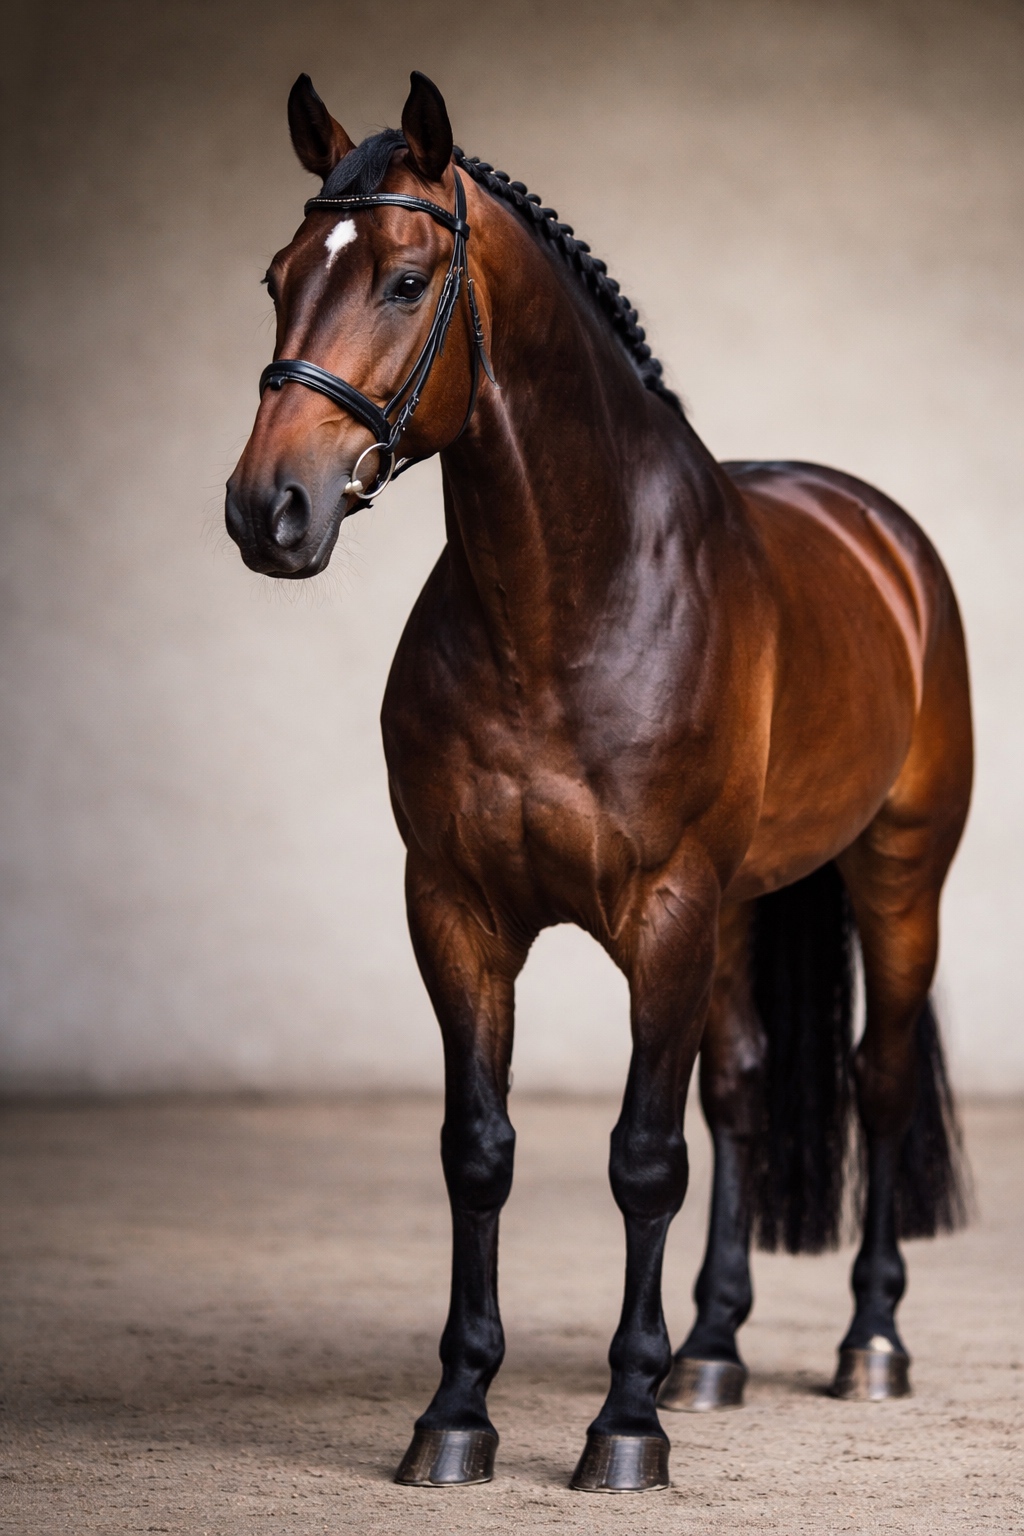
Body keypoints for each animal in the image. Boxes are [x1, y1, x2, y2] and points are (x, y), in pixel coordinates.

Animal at [225, 71, 972, 1493]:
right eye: (278, 277)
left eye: (405, 280)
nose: (265, 510)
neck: (566, 598)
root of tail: (884, 538)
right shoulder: (457, 911)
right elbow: (479, 1153)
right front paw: (456, 1413)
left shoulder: (665, 912)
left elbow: (641, 1157)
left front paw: (623, 1427)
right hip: (742, 909)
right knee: (744, 1085)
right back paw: (714, 1352)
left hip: (895, 878)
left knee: (878, 1080)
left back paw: (869, 1345)